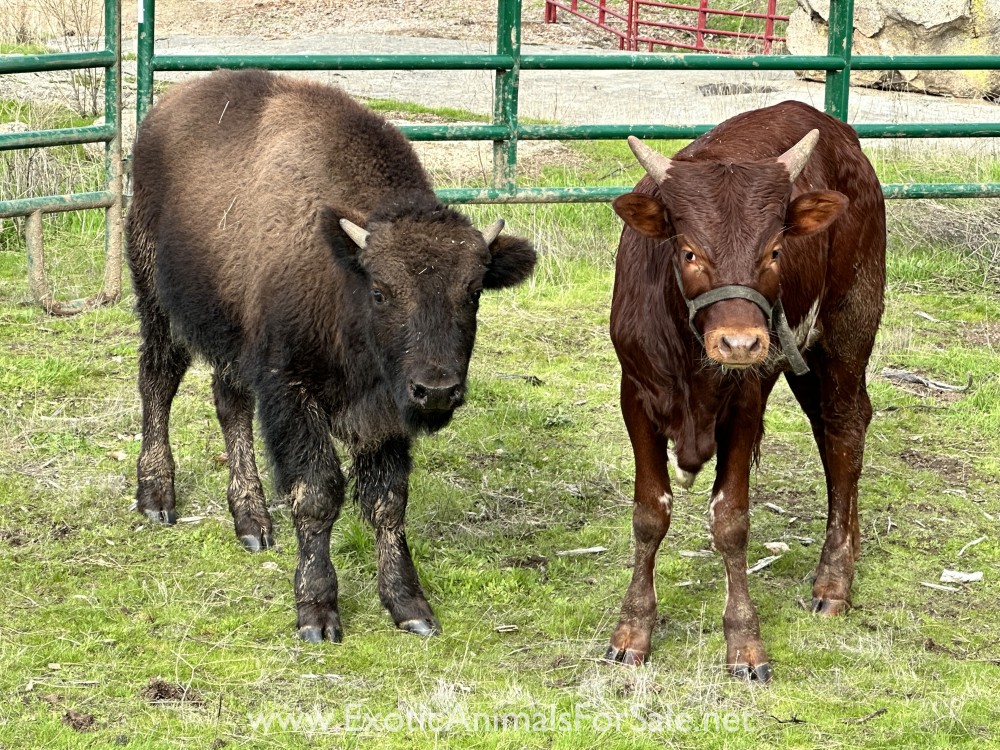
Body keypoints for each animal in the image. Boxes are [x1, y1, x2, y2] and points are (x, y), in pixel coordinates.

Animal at [126, 69, 536, 643]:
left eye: (474, 292)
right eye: (381, 292)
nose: (436, 390)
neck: (345, 276)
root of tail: (160, 114)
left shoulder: (383, 414)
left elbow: (387, 501)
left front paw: (409, 605)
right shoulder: (292, 391)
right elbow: (318, 493)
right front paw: (317, 612)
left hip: (234, 339)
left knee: (229, 403)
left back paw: (253, 523)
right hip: (157, 297)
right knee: (158, 382)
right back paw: (157, 498)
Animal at [605, 100, 886, 682]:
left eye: (775, 250)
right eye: (689, 251)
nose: (739, 342)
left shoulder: (746, 403)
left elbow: (731, 521)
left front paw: (744, 641)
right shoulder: (635, 396)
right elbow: (649, 514)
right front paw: (632, 630)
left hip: (849, 326)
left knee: (845, 430)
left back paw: (834, 577)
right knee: (830, 433)